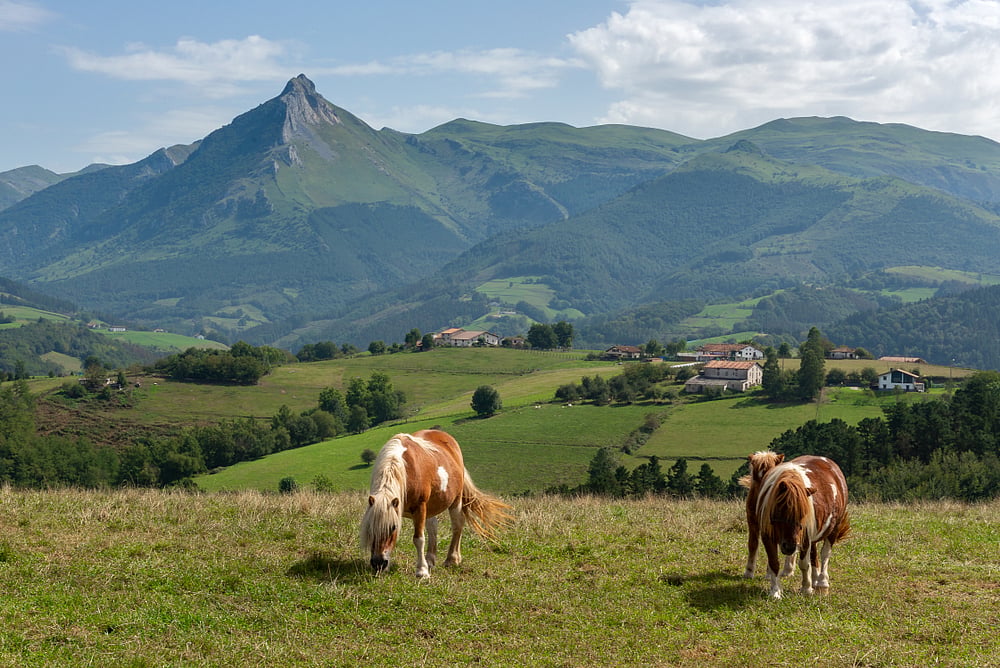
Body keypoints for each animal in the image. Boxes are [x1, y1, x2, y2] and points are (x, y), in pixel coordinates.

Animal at [360, 429, 512, 578]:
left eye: (393, 527)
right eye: (369, 527)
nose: (378, 563)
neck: (406, 468)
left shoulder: (420, 507)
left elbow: (419, 539)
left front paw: (422, 571)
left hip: (455, 500)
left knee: (457, 525)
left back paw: (452, 559)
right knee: (433, 526)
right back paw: (431, 559)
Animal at [739, 450, 793, 579]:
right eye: (756, 477)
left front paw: (769, 573)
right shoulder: (752, 521)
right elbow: (753, 544)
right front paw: (748, 571)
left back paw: (788, 570)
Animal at [756, 455, 851, 598]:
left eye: (803, 514)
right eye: (780, 510)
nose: (789, 547)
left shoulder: (805, 537)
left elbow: (804, 564)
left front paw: (806, 588)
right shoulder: (767, 536)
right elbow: (774, 563)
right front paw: (775, 591)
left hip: (833, 529)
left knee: (825, 554)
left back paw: (822, 583)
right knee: (814, 555)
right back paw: (815, 580)